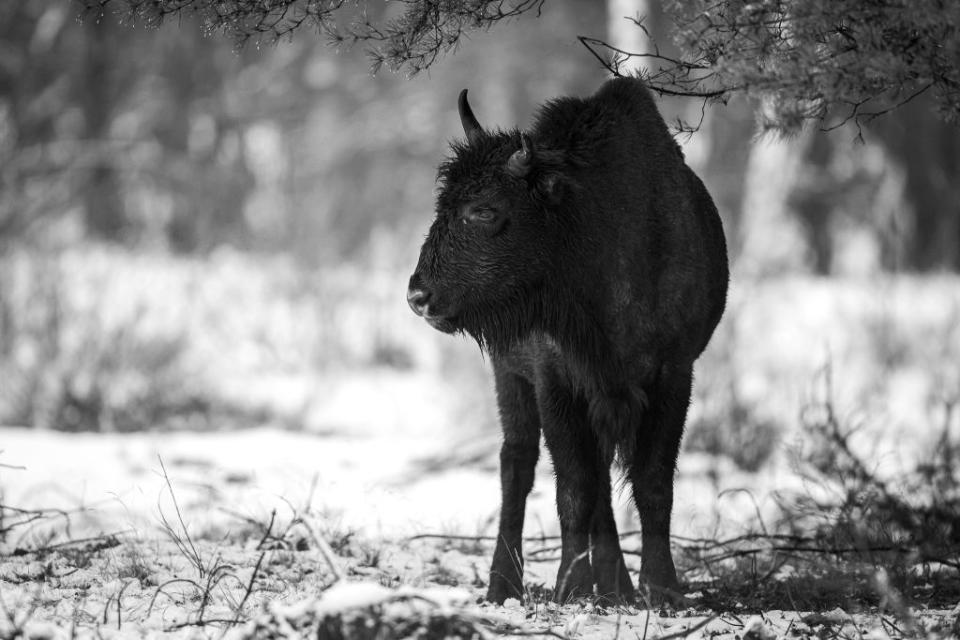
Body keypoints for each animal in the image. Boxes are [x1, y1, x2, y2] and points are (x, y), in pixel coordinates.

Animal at [404, 77, 728, 604]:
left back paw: (616, 587)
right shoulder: (554, 379)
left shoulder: (672, 375)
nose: (419, 296)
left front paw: (662, 590)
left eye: (484, 209)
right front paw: (570, 588)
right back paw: (504, 586)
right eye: (443, 206)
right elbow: (574, 487)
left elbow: (653, 484)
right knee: (517, 466)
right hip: (510, 377)